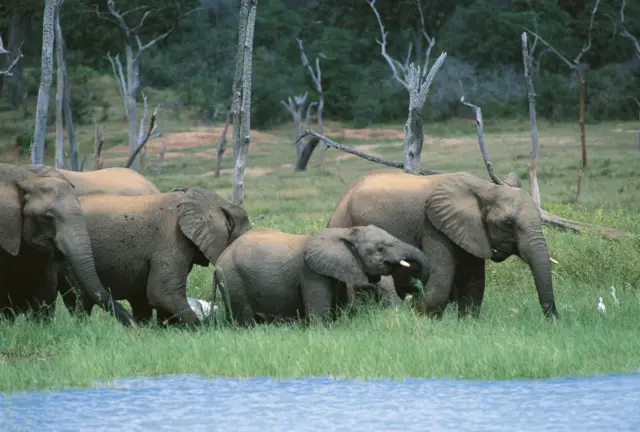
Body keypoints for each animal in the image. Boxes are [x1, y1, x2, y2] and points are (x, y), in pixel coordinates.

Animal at [214, 224, 430, 326]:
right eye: (380, 248)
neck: (345, 232)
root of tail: (220, 258)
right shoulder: (311, 272)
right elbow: (320, 316)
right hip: (233, 278)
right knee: (245, 318)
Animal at [328, 170, 556, 318]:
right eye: (507, 224)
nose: (553, 320)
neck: (484, 188)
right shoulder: (433, 226)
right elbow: (440, 283)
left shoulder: (470, 231)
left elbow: (474, 284)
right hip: (344, 221)